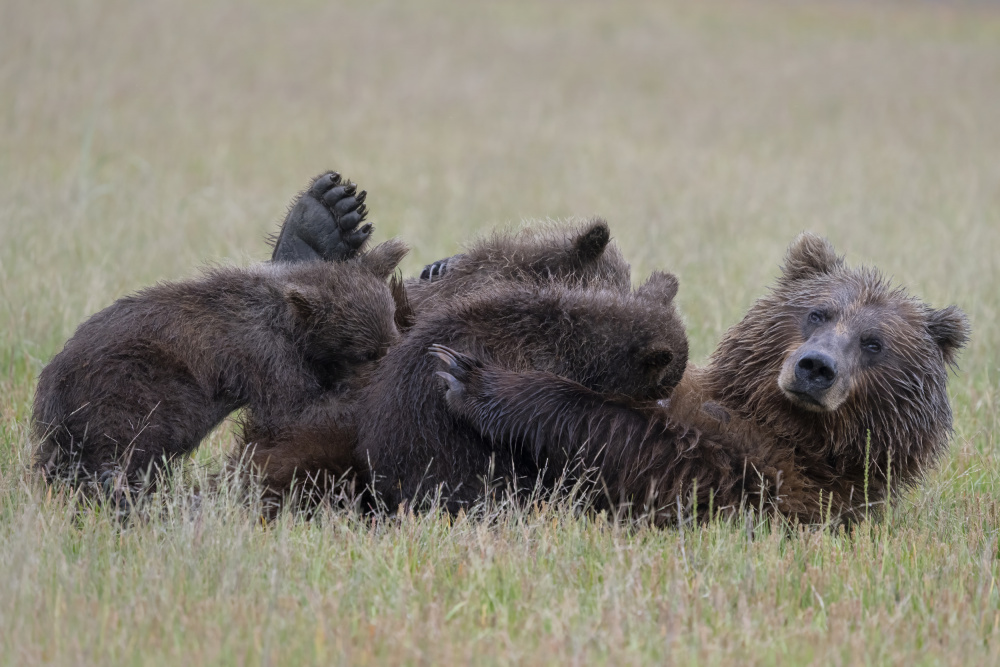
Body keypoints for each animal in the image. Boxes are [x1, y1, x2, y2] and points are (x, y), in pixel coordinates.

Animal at [31, 237, 408, 488]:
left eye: (391, 326)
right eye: (365, 351)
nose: (393, 358)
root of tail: (50, 383)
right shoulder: (264, 354)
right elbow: (295, 411)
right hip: (128, 385)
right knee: (126, 445)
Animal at [434, 235, 972, 528]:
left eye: (873, 342)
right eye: (818, 312)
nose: (816, 367)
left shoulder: (770, 480)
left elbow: (637, 451)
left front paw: (475, 379)